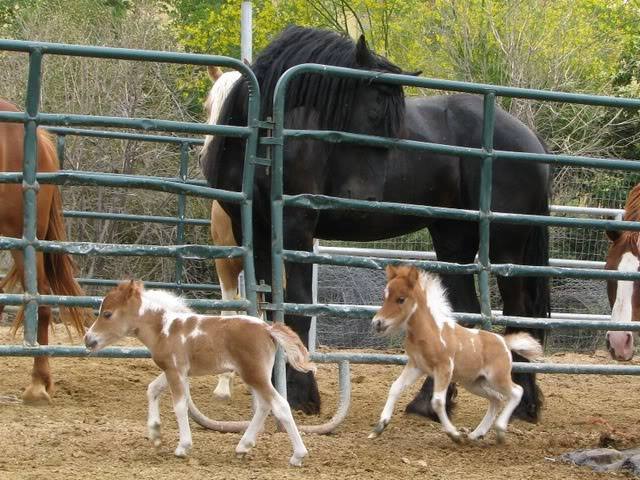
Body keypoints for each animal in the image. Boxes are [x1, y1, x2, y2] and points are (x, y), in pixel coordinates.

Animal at [84, 280, 313, 466]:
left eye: (107, 314)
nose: (88, 339)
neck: (165, 329)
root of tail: (267, 329)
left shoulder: (175, 370)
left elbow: (179, 406)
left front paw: (182, 447)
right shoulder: (176, 371)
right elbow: (152, 389)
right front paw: (155, 434)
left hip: (254, 374)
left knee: (280, 405)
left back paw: (297, 456)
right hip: (253, 375)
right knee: (265, 405)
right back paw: (243, 447)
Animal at [199, 25, 551, 422]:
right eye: (376, 107)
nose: (365, 195)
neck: (269, 131)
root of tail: (528, 138)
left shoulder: (295, 226)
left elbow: (298, 303)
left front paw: (301, 393)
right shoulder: (253, 229)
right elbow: (269, 305)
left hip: (506, 247)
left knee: (521, 312)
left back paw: (523, 403)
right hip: (453, 241)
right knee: (464, 313)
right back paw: (429, 403)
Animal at [369, 265, 542, 443]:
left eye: (401, 299)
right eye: (385, 296)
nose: (377, 323)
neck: (430, 332)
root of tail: (504, 342)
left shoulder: (444, 368)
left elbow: (437, 401)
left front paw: (454, 434)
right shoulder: (416, 366)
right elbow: (395, 387)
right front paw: (379, 427)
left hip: (497, 378)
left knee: (516, 392)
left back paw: (500, 430)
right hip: (474, 382)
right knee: (496, 399)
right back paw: (476, 434)